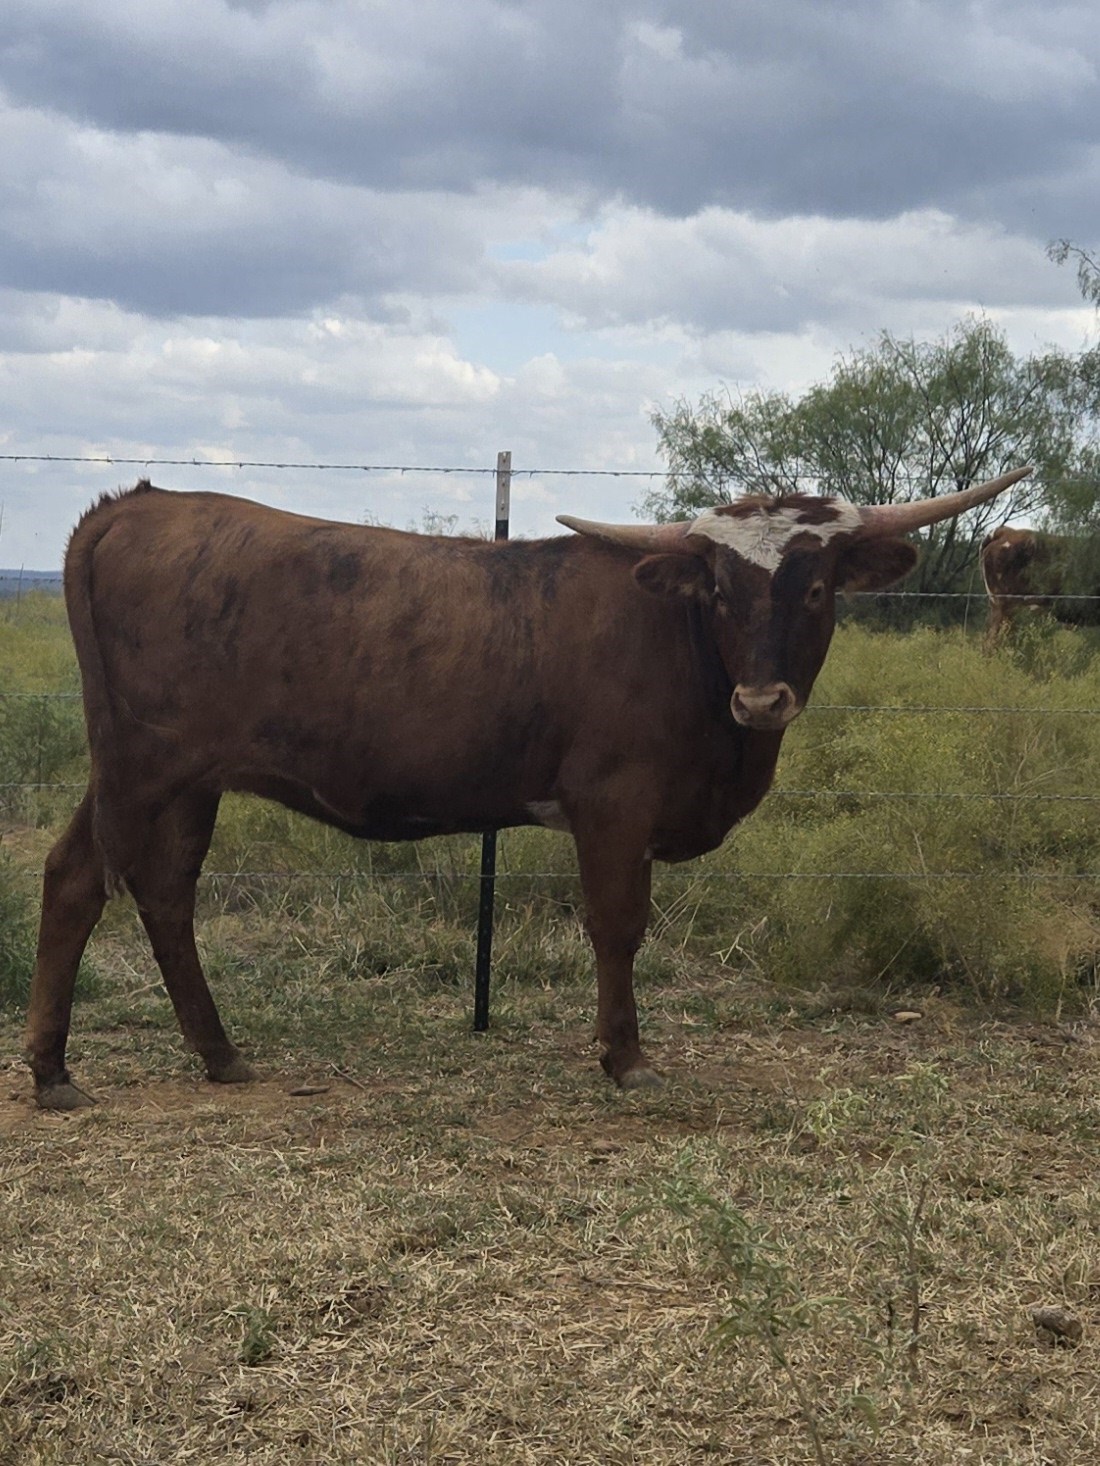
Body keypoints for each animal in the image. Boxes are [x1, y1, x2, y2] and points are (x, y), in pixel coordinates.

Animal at [25, 468, 1029, 1109]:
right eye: (716, 589)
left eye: (815, 588)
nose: (761, 698)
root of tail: (136, 506)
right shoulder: (612, 807)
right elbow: (618, 927)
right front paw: (624, 1057)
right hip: (146, 769)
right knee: (116, 884)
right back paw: (90, 1065)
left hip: (173, 779)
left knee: (117, 884)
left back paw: (158, 1059)